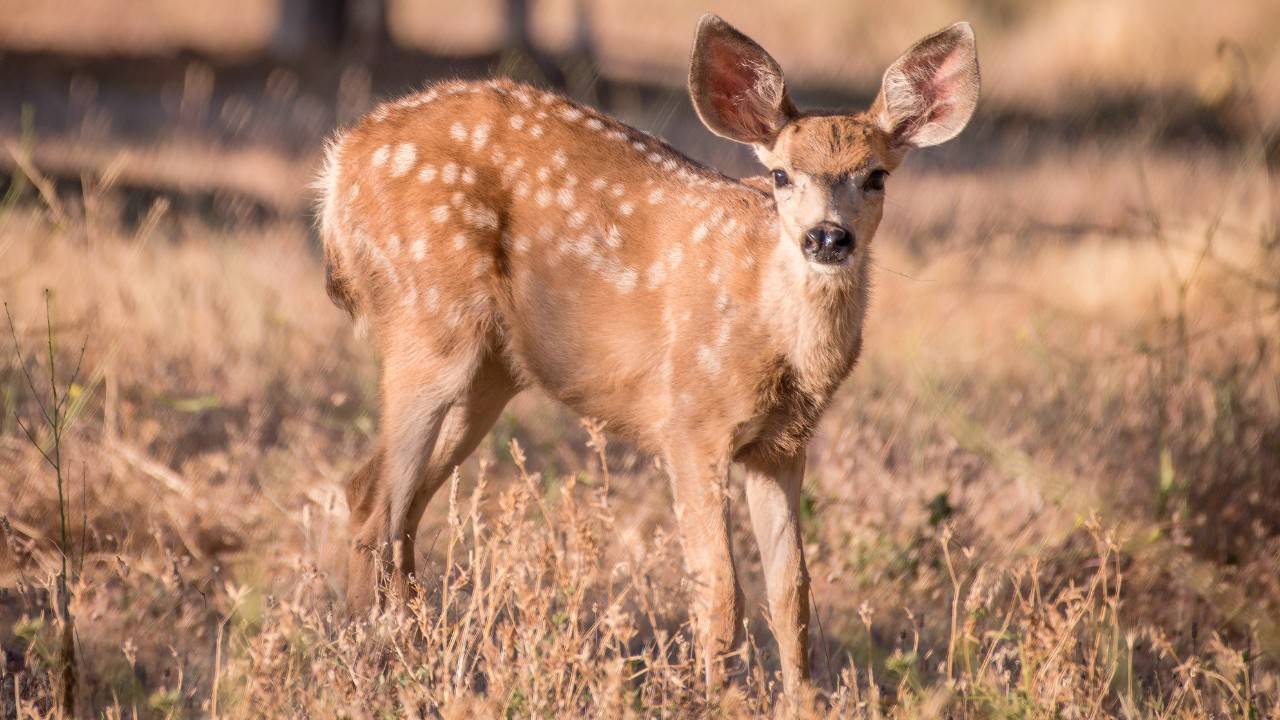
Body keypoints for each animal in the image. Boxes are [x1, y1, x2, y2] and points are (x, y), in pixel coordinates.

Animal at [317, 12, 977, 696]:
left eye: (876, 175)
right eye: (780, 175)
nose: (826, 237)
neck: (776, 334)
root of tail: (339, 166)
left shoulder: (783, 444)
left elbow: (792, 593)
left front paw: (805, 701)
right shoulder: (689, 422)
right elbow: (720, 593)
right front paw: (719, 701)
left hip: (490, 372)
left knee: (385, 498)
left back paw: (411, 651)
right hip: (428, 322)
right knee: (376, 505)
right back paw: (372, 662)